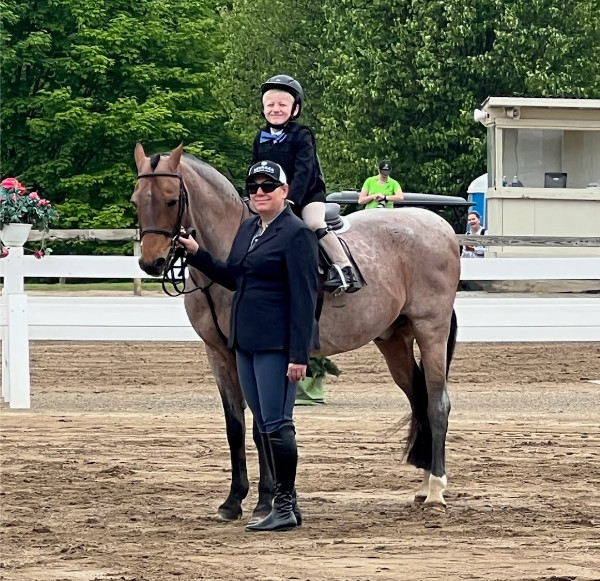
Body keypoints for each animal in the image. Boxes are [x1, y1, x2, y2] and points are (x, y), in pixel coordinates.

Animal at [131, 143, 460, 520]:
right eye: (136, 200)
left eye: (171, 200)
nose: (151, 263)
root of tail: (440, 226)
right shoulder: (218, 353)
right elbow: (235, 426)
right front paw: (233, 501)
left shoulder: (252, 352)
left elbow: (261, 424)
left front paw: (265, 500)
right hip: (394, 339)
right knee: (419, 399)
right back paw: (422, 485)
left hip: (431, 330)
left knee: (436, 404)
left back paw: (435, 489)